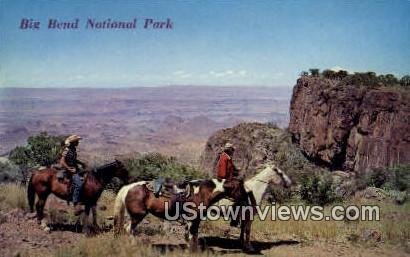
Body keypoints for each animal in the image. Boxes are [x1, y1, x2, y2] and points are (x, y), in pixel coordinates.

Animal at [112, 178, 253, 250]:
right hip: (138, 215)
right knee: (128, 228)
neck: (201, 193)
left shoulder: (195, 220)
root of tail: (128, 187)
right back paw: (134, 245)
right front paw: (192, 250)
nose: (248, 201)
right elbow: (191, 236)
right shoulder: (192, 220)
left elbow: (193, 236)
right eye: (241, 188)